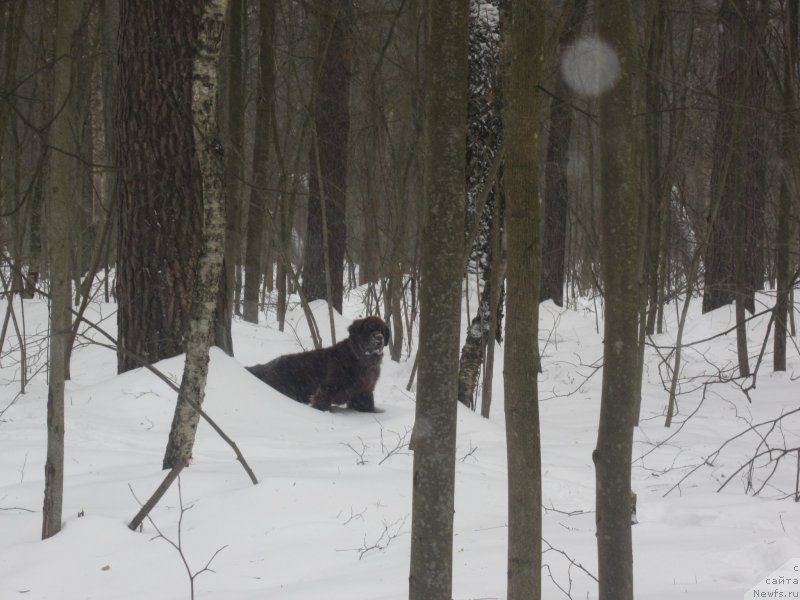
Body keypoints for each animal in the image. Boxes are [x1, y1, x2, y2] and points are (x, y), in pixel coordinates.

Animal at [247, 316, 390, 410]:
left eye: (381, 330)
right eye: (369, 330)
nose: (379, 338)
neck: (362, 360)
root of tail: (266, 366)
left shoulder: (364, 392)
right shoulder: (328, 387)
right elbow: (321, 401)